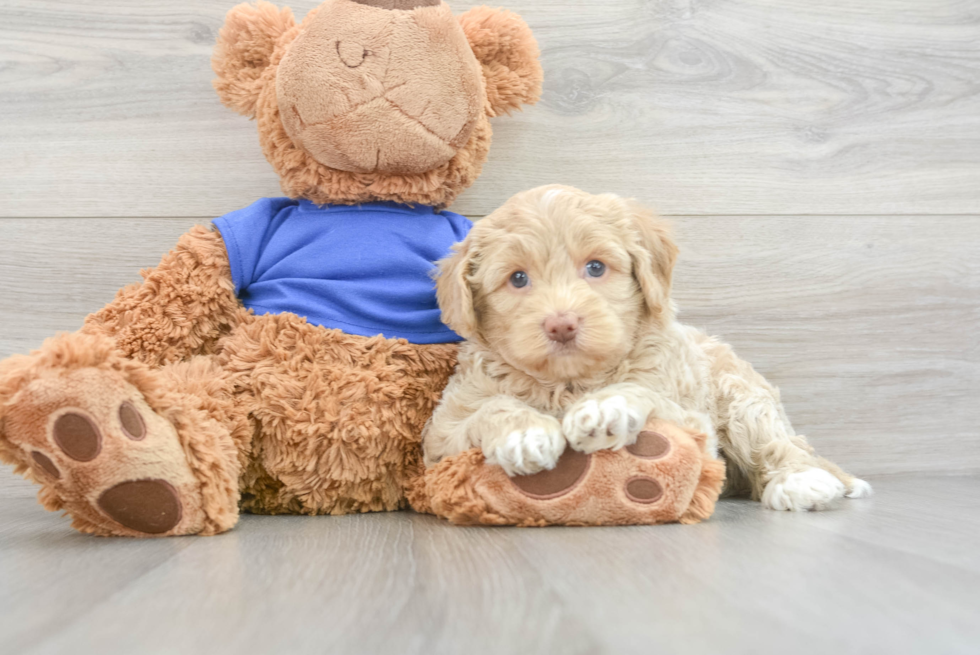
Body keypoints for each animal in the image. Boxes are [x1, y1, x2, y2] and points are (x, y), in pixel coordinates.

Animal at [424, 184, 868, 512]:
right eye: (517, 279)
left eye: (596, 267)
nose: (561, 323)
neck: (569, 384)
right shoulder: (441, 436)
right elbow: (489, 409)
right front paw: (523, 432)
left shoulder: (692, 419)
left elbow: (645, 393)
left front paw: (607, 407)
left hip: (741, 399)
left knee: (781, 444)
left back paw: (800, 480)